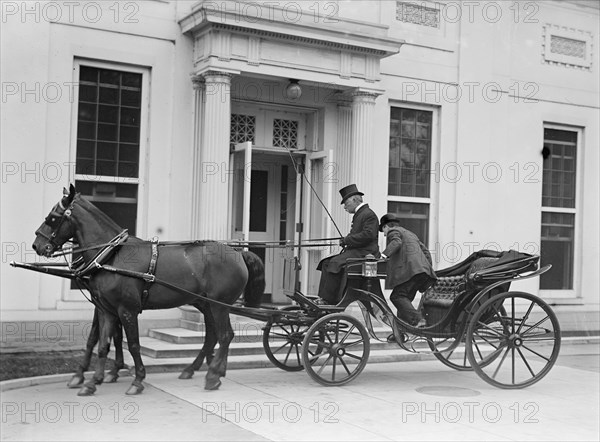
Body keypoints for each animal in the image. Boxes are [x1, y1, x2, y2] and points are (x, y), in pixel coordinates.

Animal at [33, 185, 264, 396]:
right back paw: (198, 369)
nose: (37, 245)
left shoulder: (127, 310)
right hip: (206, 304)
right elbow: (102, 344)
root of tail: (237, 253)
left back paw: (213, 375)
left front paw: (137, 380)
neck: (111, 256)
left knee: (225, 335)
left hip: (219, 305)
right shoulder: (106, 309)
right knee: (213, 335)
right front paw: (93, 381)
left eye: (53, 217)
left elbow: (133, 344)